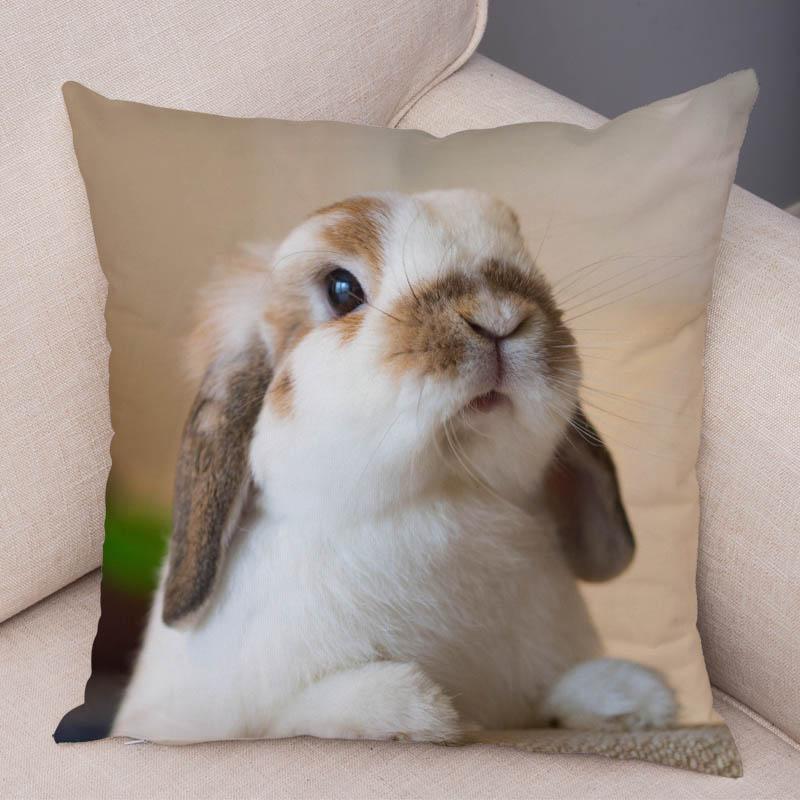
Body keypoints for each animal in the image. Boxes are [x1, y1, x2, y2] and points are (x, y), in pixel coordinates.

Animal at [111, 189, 677, 744]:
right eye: (341, 289)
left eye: (526, 260)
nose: (498, 317)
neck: (446, 490)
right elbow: (288, 718)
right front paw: (416, 709)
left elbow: (558, 695)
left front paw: (635, 697)